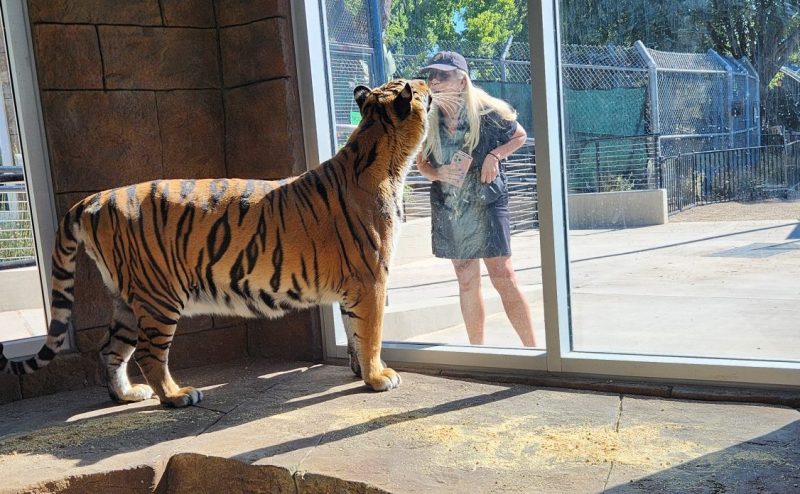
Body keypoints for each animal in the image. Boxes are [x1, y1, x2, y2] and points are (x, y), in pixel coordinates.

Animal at [0, 77, 434, 408]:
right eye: (418, 86)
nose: (430, 83)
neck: (380, 148)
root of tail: (94, 199)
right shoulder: (370, 279)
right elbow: (371, 332)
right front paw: (378, 377)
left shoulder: (353, 286)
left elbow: (354, 331)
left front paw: (360, 371)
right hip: (158, 296)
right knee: (149, 353)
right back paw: (176, 396)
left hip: (126, 297)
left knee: (109, 350)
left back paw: (127, 395)